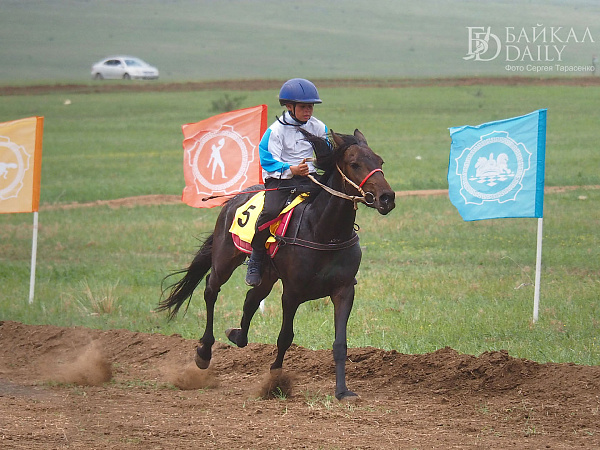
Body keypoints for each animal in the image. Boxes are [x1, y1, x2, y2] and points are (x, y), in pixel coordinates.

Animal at [158, 128, 395, 400]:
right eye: (354, 164)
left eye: (380, 161)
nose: (387, 198)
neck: (323, 231)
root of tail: (234, 199)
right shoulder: (292, 292)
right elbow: (285, 337)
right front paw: (275, 381)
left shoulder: (344, 290)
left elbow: (340, 343)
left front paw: (342, 391)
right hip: (224, 261)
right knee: (211, 290)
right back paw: (204, 352)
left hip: (267, 275)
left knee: (251, 299)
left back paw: (237, 334)